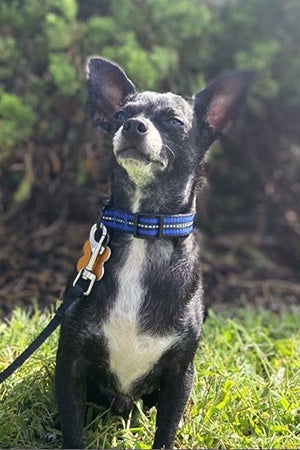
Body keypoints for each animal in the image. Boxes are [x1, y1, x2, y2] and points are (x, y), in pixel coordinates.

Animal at [54, 58, 253, 448]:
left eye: (174, 122)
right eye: (119, 115)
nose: (133, 125)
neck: (143, 228)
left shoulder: (179, 374)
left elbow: (166, 432)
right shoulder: (71, 364)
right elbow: (73, 429)